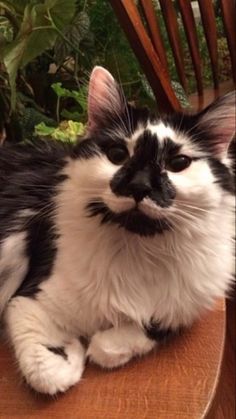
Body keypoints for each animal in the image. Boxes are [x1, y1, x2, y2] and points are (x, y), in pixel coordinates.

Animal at [0, 67, 235, 396]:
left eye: (178, 163)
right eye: (117, 154)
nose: (139, 186)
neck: (140, 249)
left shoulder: (186, 305)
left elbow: (146, 329)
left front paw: (101, 346)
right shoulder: (27, 299)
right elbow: (48, 371)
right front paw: (72, 356)